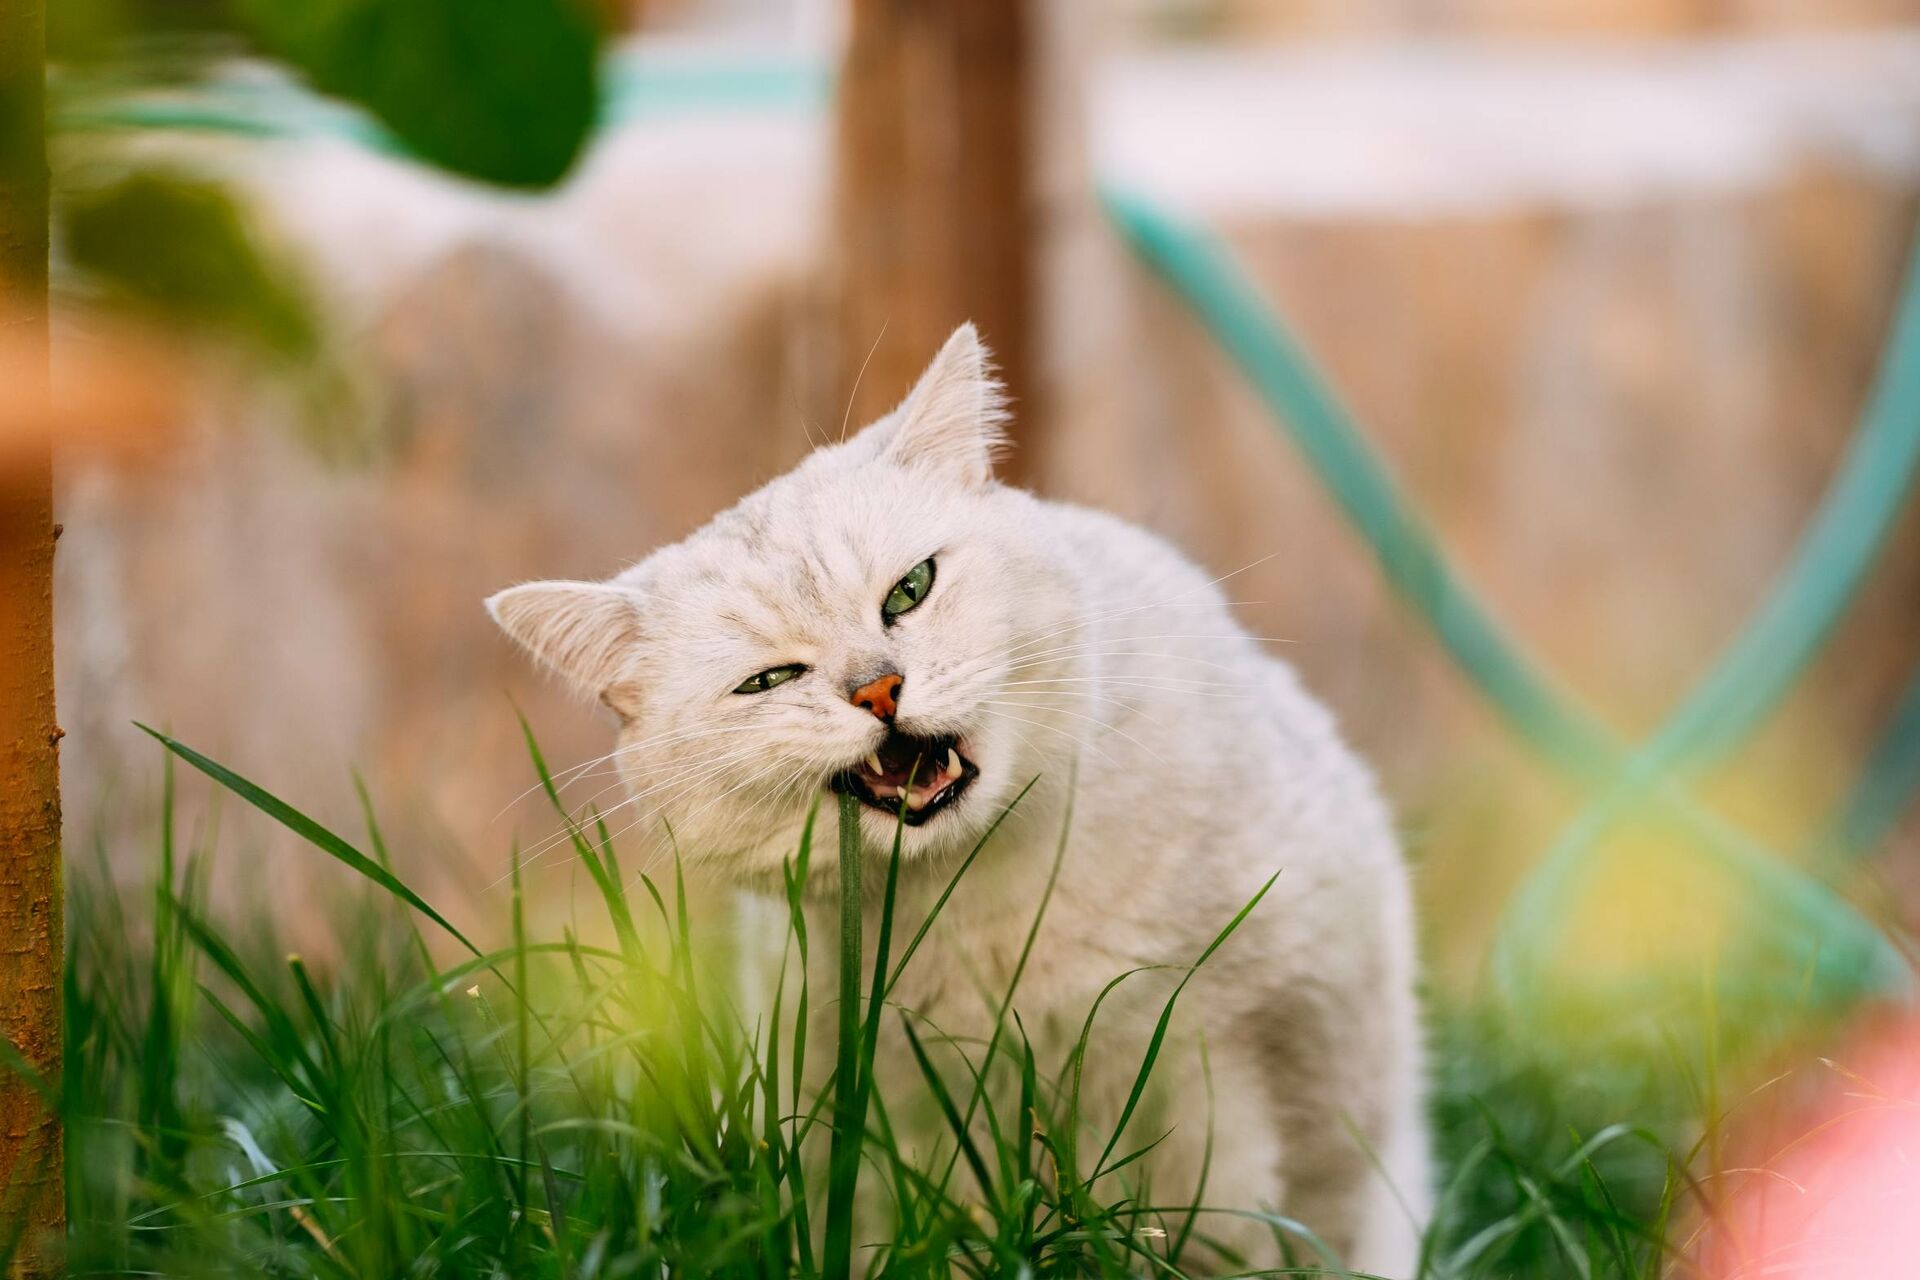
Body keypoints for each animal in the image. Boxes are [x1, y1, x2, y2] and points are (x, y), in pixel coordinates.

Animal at [487, 328, 1436, 1274]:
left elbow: (1221, 1230)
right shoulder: (882, 1118)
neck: (983, 896)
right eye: (768, 681)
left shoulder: (1226, 1063)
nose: (878, 690)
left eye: (911, 589)